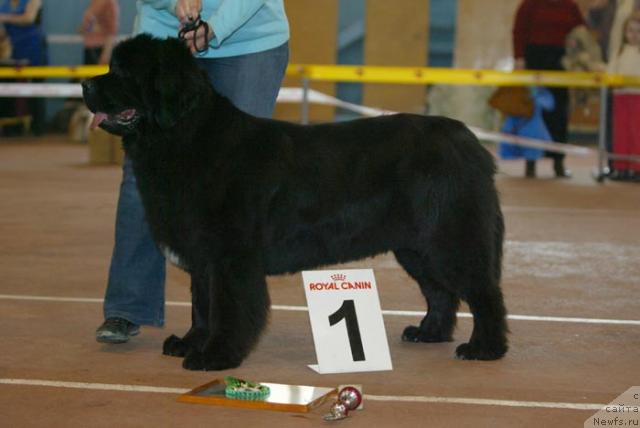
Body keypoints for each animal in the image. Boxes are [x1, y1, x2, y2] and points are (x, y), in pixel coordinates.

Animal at [82, 35, 508, 372]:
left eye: (123, 73)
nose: (85, 83)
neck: (187, 137)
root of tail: (469, 141)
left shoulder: (231, 256)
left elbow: (227, 308)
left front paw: (215, 356)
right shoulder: (203, 257)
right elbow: (202, 305)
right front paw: (190, 343)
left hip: (449, 236)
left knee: (483, 291)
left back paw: (484, 348)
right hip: (416, 246)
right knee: (441, 292)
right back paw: (428, 332)